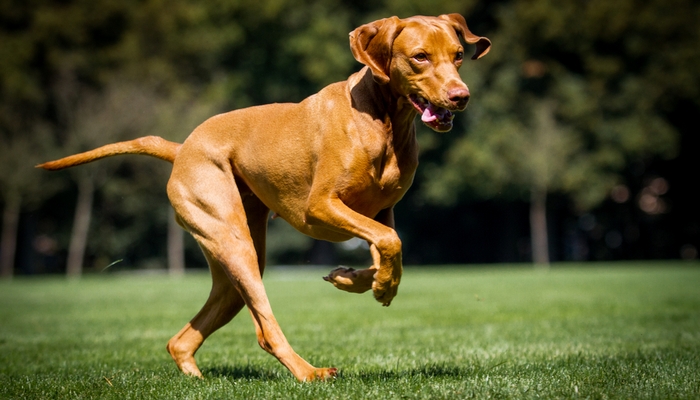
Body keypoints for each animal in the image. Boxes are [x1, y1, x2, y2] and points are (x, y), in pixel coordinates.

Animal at [37, 14, 486, 382]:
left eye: (459, 56)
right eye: (420, 57)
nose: (461, 96)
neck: (383, 119)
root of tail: (183, 148)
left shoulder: (382, 211)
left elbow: (388, 249)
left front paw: (363, 281)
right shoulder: (320, 208)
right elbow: (392, 243)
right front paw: (378, 286)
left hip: (235, 257)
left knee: (184, 338)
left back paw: (196, 377)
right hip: (234, 242)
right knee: (265, 329)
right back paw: (308, 372)